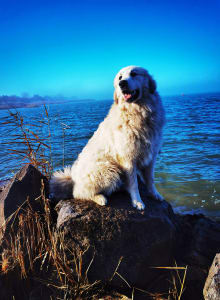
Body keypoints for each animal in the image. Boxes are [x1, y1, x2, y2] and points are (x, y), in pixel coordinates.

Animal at [49, 65, 166, 211]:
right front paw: (137, 202)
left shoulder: (151, 155)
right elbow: (134, 184)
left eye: (134, 74)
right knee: (79, 193)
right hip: (108, 169)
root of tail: (73, 177)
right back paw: (100, 198)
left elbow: (150, 180)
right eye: (120, 78)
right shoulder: (127, 158)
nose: (122, 84)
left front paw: (155, 195)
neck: (138, 112)